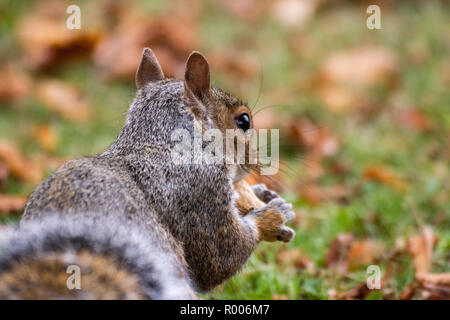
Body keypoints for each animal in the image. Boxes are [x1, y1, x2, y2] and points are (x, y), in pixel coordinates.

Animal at [0, 48, 296, 298]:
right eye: (243, 121)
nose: (254, 164)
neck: (155, 143)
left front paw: (260, 194)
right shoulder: (200, 191)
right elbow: (221, 259)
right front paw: (271, 216)